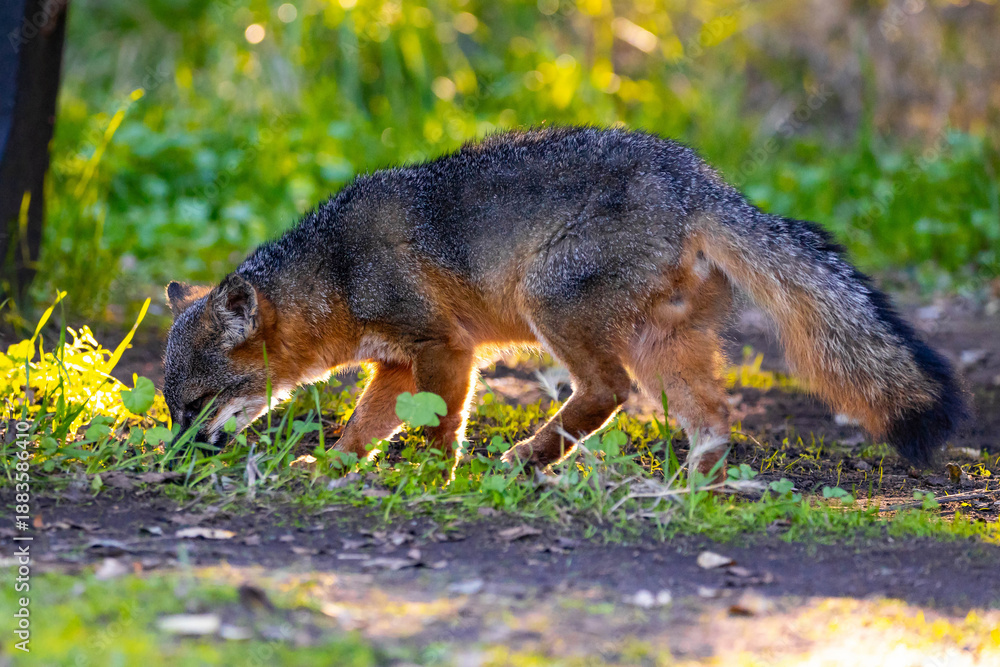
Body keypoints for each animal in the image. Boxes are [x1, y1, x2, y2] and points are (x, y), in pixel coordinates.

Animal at [163, 126, 966, 478]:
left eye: (197, 403)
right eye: (172, 408)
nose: (175, 457)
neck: (333, 269)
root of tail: (703, 183)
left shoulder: (444, 348)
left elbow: (438, 424)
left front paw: (429, 473)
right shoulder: (395, 364)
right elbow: (363, 426)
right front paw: (332, 465)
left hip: (549, 304)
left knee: (609, 391)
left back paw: (531, 454)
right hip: (661, 344)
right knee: (713, 419)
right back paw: (687, 493)